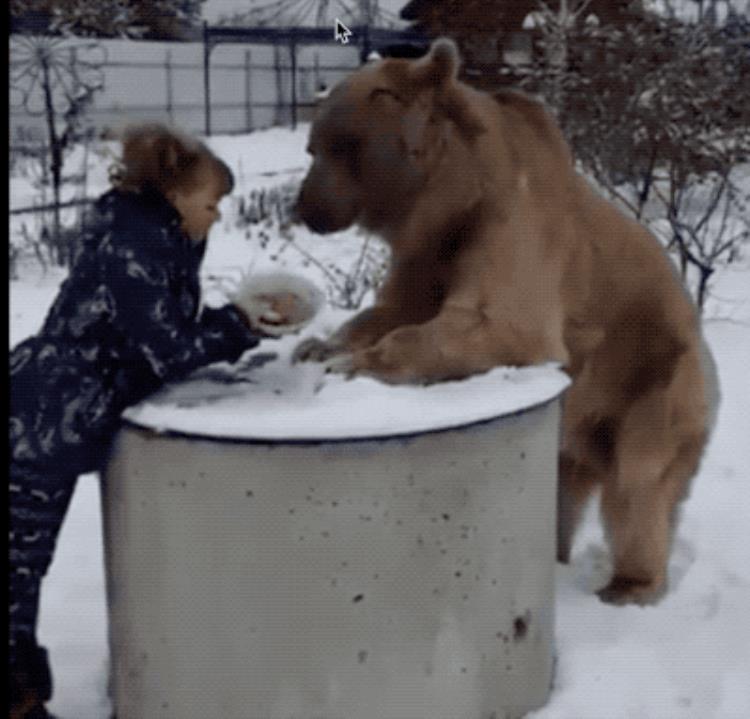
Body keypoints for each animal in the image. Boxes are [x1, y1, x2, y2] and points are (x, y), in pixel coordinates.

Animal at [290, 38, 720, 608]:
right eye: (312, 147)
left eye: (343, 144)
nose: (305, 207)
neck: (454, 197)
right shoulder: (429, 256)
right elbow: (392, 310)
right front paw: (319, 346)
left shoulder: (511, 227)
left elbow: (497, 324)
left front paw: (350, 364)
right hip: (577, 426)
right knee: (565, 485)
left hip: (655, 380)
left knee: (639, 483)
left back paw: (628, 585)